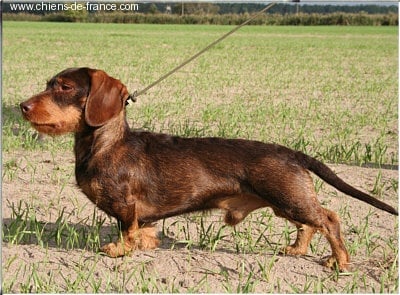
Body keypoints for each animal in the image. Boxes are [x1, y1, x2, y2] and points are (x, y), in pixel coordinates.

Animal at [20, 68, 398, 272]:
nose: (22, 106)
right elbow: (144, 230)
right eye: (49, 83)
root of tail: (292, 152)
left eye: (64, 87)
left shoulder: (125, 206)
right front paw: (146, 243)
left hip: (289, 198)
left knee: (329, 219)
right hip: (284, 201)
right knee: (309, 225)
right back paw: (296, 250)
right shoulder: (142, 213)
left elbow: (126, 230)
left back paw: (339, 261)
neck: (107, 144)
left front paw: (120, 249)